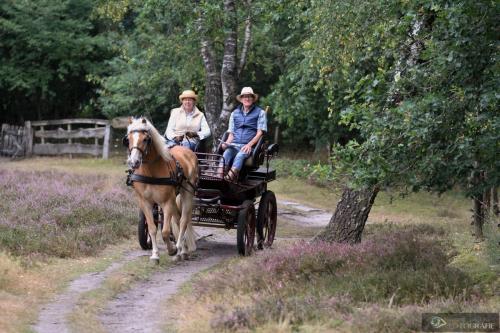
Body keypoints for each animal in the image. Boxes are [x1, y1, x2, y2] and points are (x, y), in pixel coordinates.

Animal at [124, 116, 198, 262]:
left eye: (145, 139)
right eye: (128, 139)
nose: (134, 162)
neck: (151, 172)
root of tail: (187, 152)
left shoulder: (167, 202)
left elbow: (165, 231)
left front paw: (172, 249)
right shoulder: (145, 202)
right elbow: (152, 228)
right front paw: (155, 255)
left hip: (187, 193)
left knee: (183, 221)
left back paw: (180, 249)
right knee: (177, 219)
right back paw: (183, 251)